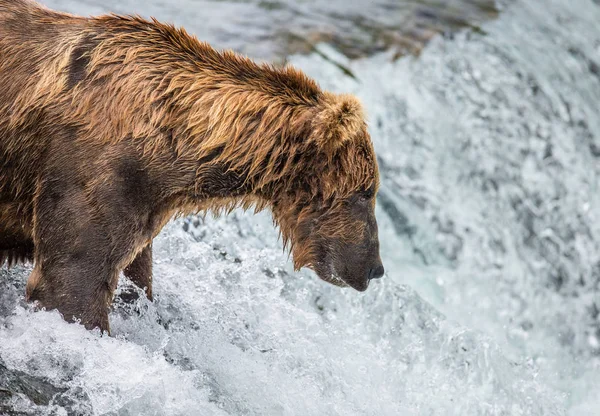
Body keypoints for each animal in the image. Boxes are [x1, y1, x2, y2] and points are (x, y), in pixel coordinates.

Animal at [0, 0, 384, 332]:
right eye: (366, 193)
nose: (375, 269)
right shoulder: (90, 173)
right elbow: (70, 286)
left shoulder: (143, 208)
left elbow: (134, 279)